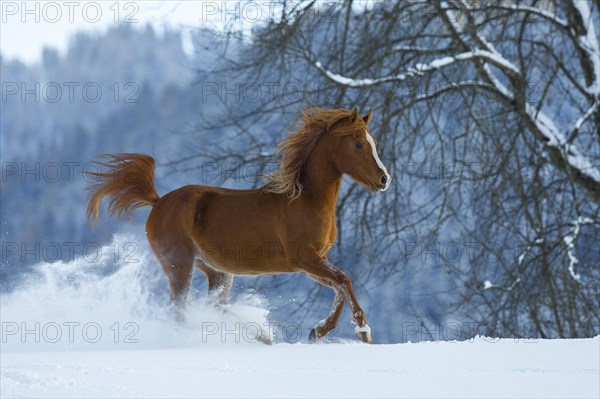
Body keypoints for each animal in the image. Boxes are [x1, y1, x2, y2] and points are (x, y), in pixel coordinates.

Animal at [86, 106, 392, 344]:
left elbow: (339, 286)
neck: (305, 199)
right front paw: (363, 330)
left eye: (374, 142)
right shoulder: (305, 258)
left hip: (217, 271)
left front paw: (318, 331)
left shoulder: (315, 262)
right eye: (358, 144)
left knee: (211, 305)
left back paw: (260, 334)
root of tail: (158, 201)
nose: (384, 179)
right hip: (180, 265)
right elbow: (344, 280)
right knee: (178, 310)